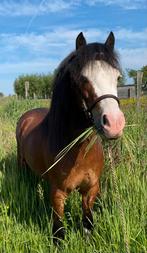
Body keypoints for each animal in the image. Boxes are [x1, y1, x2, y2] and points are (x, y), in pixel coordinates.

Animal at [15, 31, 125, 241]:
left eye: (117, 77)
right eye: (82, 78)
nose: (114, 124)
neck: (78, 150)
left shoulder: (90, 189)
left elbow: (87, 222)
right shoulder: (58, 193)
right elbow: (59, 229)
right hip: (21, 162)